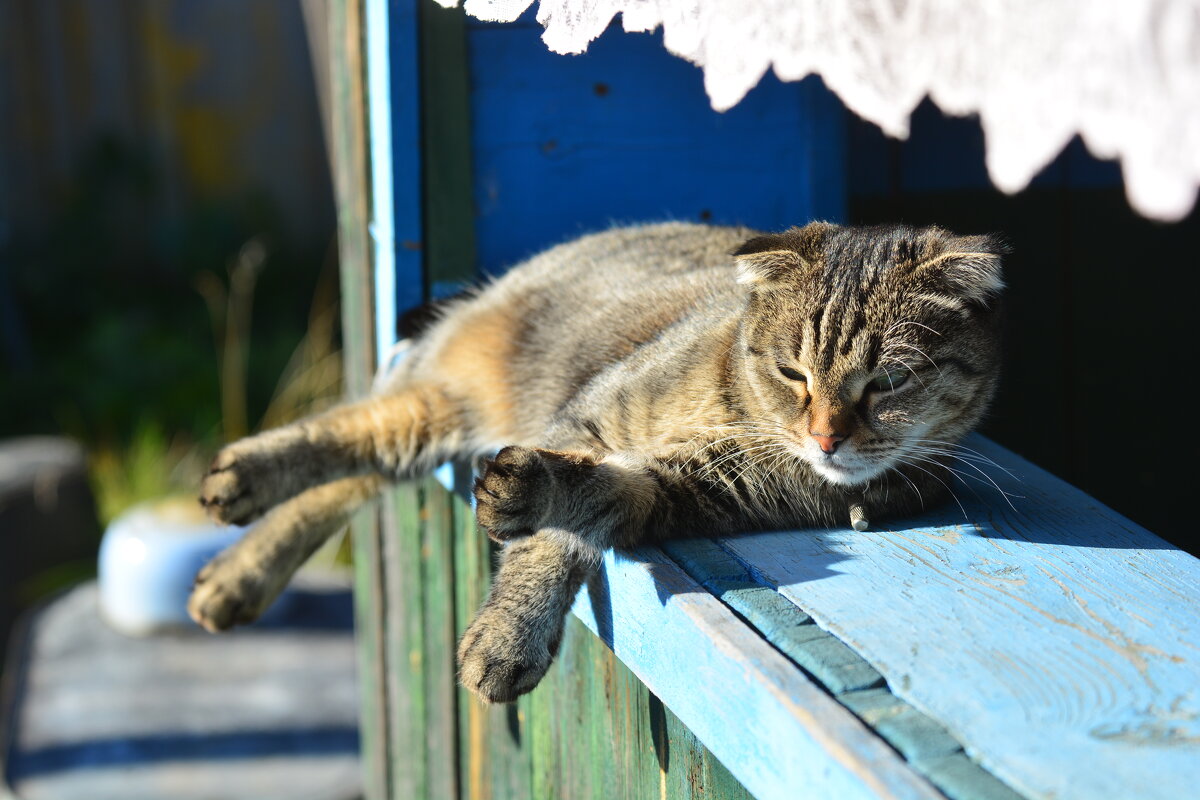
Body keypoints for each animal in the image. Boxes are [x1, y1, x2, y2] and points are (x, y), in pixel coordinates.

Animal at [192, 219, 1008, 700]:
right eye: (792, 372)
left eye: (889, 382)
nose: (827, 438)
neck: (740, 409)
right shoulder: (586, 419)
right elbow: (547, 541)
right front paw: (509, 628)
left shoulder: (679, 489)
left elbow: (581, 511)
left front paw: (515, 584)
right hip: (440, 394)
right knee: (343, 431)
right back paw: (240, 485)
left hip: (437, 418)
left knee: (364, 466)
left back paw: (240, 568)